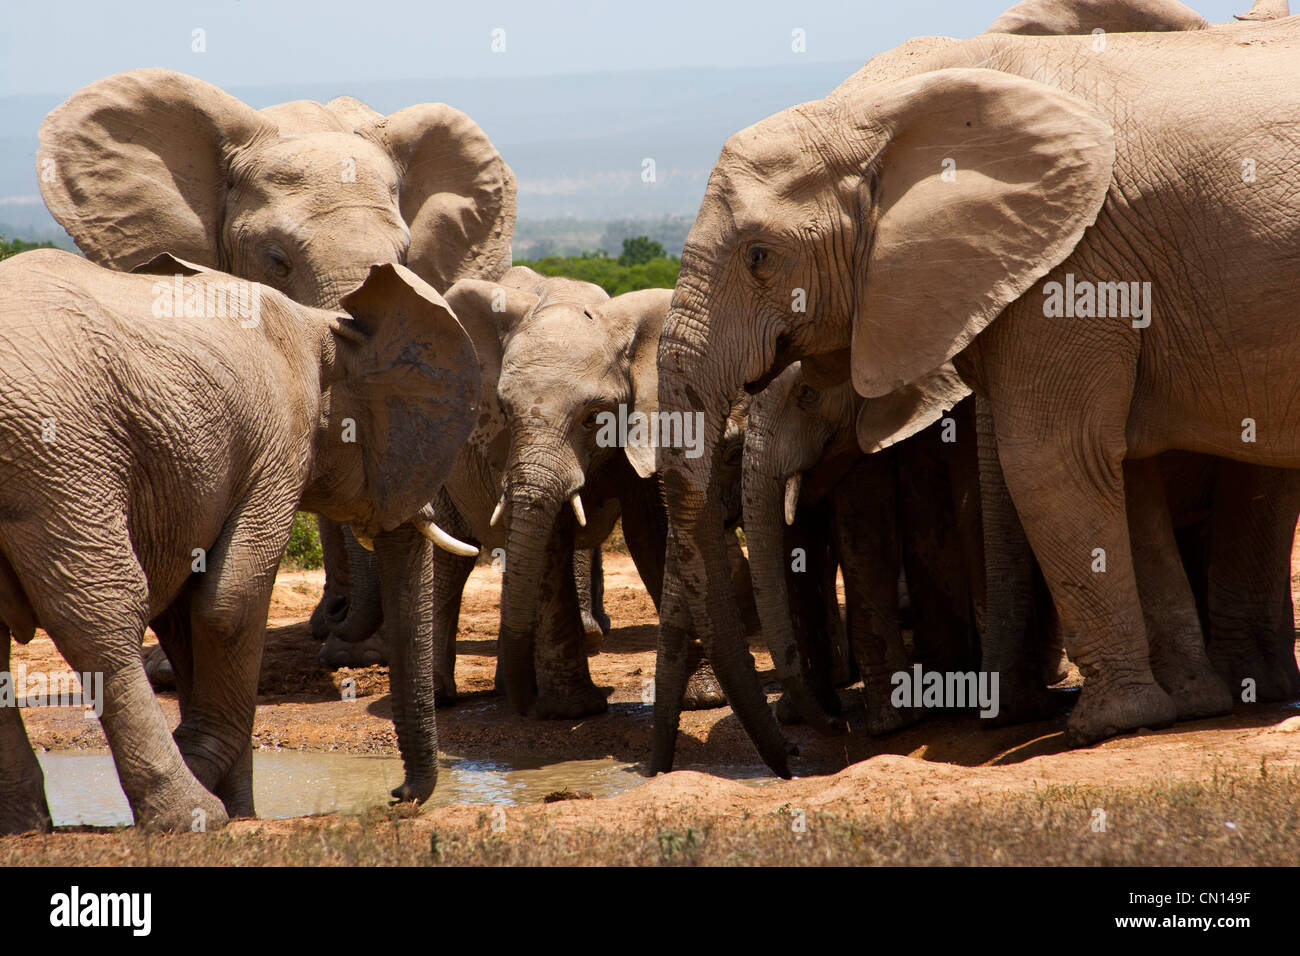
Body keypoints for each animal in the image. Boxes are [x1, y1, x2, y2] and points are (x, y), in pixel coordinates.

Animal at [0, 250, 479, 834]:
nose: (397, 795)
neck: (325, 328)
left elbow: (186, 617)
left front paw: (242, 811)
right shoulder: (279, 441)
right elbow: (228, 604)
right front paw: (217, 793)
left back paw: (24, 826)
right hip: (61, 452)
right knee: (102, 614)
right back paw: (190, 813)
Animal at [650, 17, 1300, 777]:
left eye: (758, 256)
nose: (794, 755)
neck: (873, 112)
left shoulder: (1075, 265)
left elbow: (1052, 459)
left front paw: (1106, 725)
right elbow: (1123, 474)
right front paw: (1189, 706)